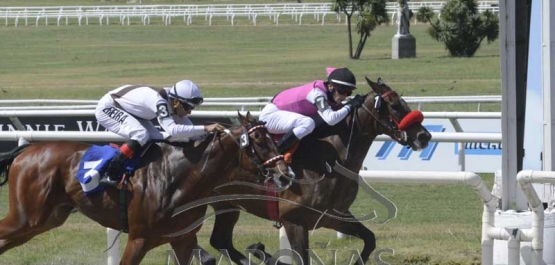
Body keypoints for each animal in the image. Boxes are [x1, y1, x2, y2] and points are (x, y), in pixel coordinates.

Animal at [0, 111, 294, 264]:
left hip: (46, 219)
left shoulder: (182, 239)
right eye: (259, 140)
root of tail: (26, 151)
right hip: (27, 217)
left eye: (273, 138)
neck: (178, 180)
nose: (286, 174)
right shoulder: (138, 239)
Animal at [198, 77, 432, 262]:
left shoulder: (335, 217)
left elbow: (370, 239)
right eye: (394, 106)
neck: (330, 162)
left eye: (405, 103)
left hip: (227, 204)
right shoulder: (294, 221)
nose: (424, 136)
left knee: (221, 241)